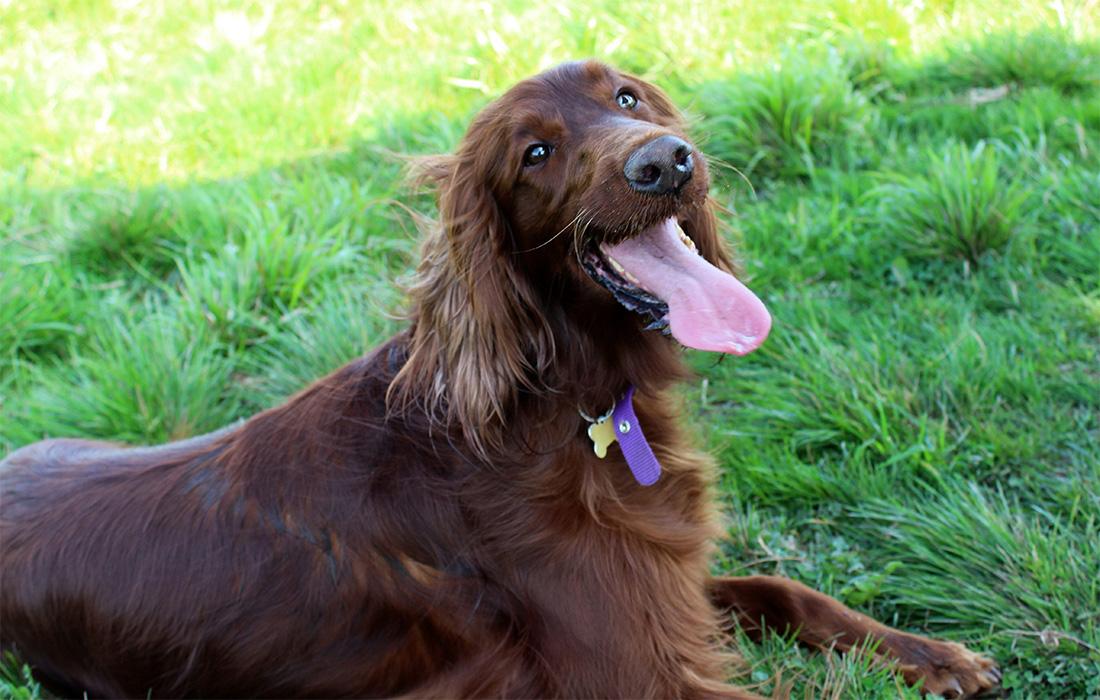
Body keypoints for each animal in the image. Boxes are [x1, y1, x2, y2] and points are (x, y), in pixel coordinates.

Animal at [0, 61, 998, 700]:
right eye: (535, 154)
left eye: (627, 95)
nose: (664, 160)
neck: (562, 405)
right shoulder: (636, 671)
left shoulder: (662, 582)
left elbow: (780, 589)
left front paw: (932, 652)